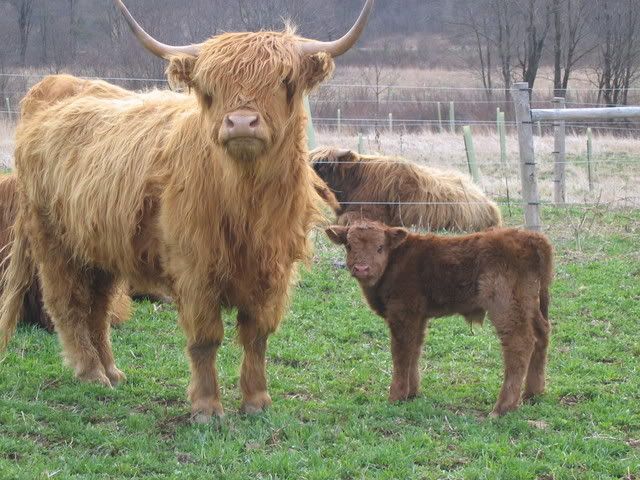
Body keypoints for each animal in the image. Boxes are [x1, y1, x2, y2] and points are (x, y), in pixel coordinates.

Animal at [0, 0, 375, 423]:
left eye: (284, 80)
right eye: (210, 89)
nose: (241, 122)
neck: (245, 200)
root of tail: (53, 87)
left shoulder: (272, 269)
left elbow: (256, 336)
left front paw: (256, 400)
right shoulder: (194, 268)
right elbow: (205, 338)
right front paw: (207, 407)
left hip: (99, 246)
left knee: (98, 309)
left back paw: (112, 371)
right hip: (53, 241)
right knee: (69, 304)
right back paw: (91, 372)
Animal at [326, 220, 553, 416]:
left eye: (380, 247)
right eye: (349, 246)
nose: (361, 268)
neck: (397, 261)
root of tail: (531, 237)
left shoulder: (402, 312)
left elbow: (401, 353)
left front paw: (396, 396)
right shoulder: (417, 316)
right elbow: (414, 350)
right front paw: (412, 393)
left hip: (505, 305)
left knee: (520, 343)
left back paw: (502, 408)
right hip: (528, 305)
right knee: (541, 335)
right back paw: (533, 393)